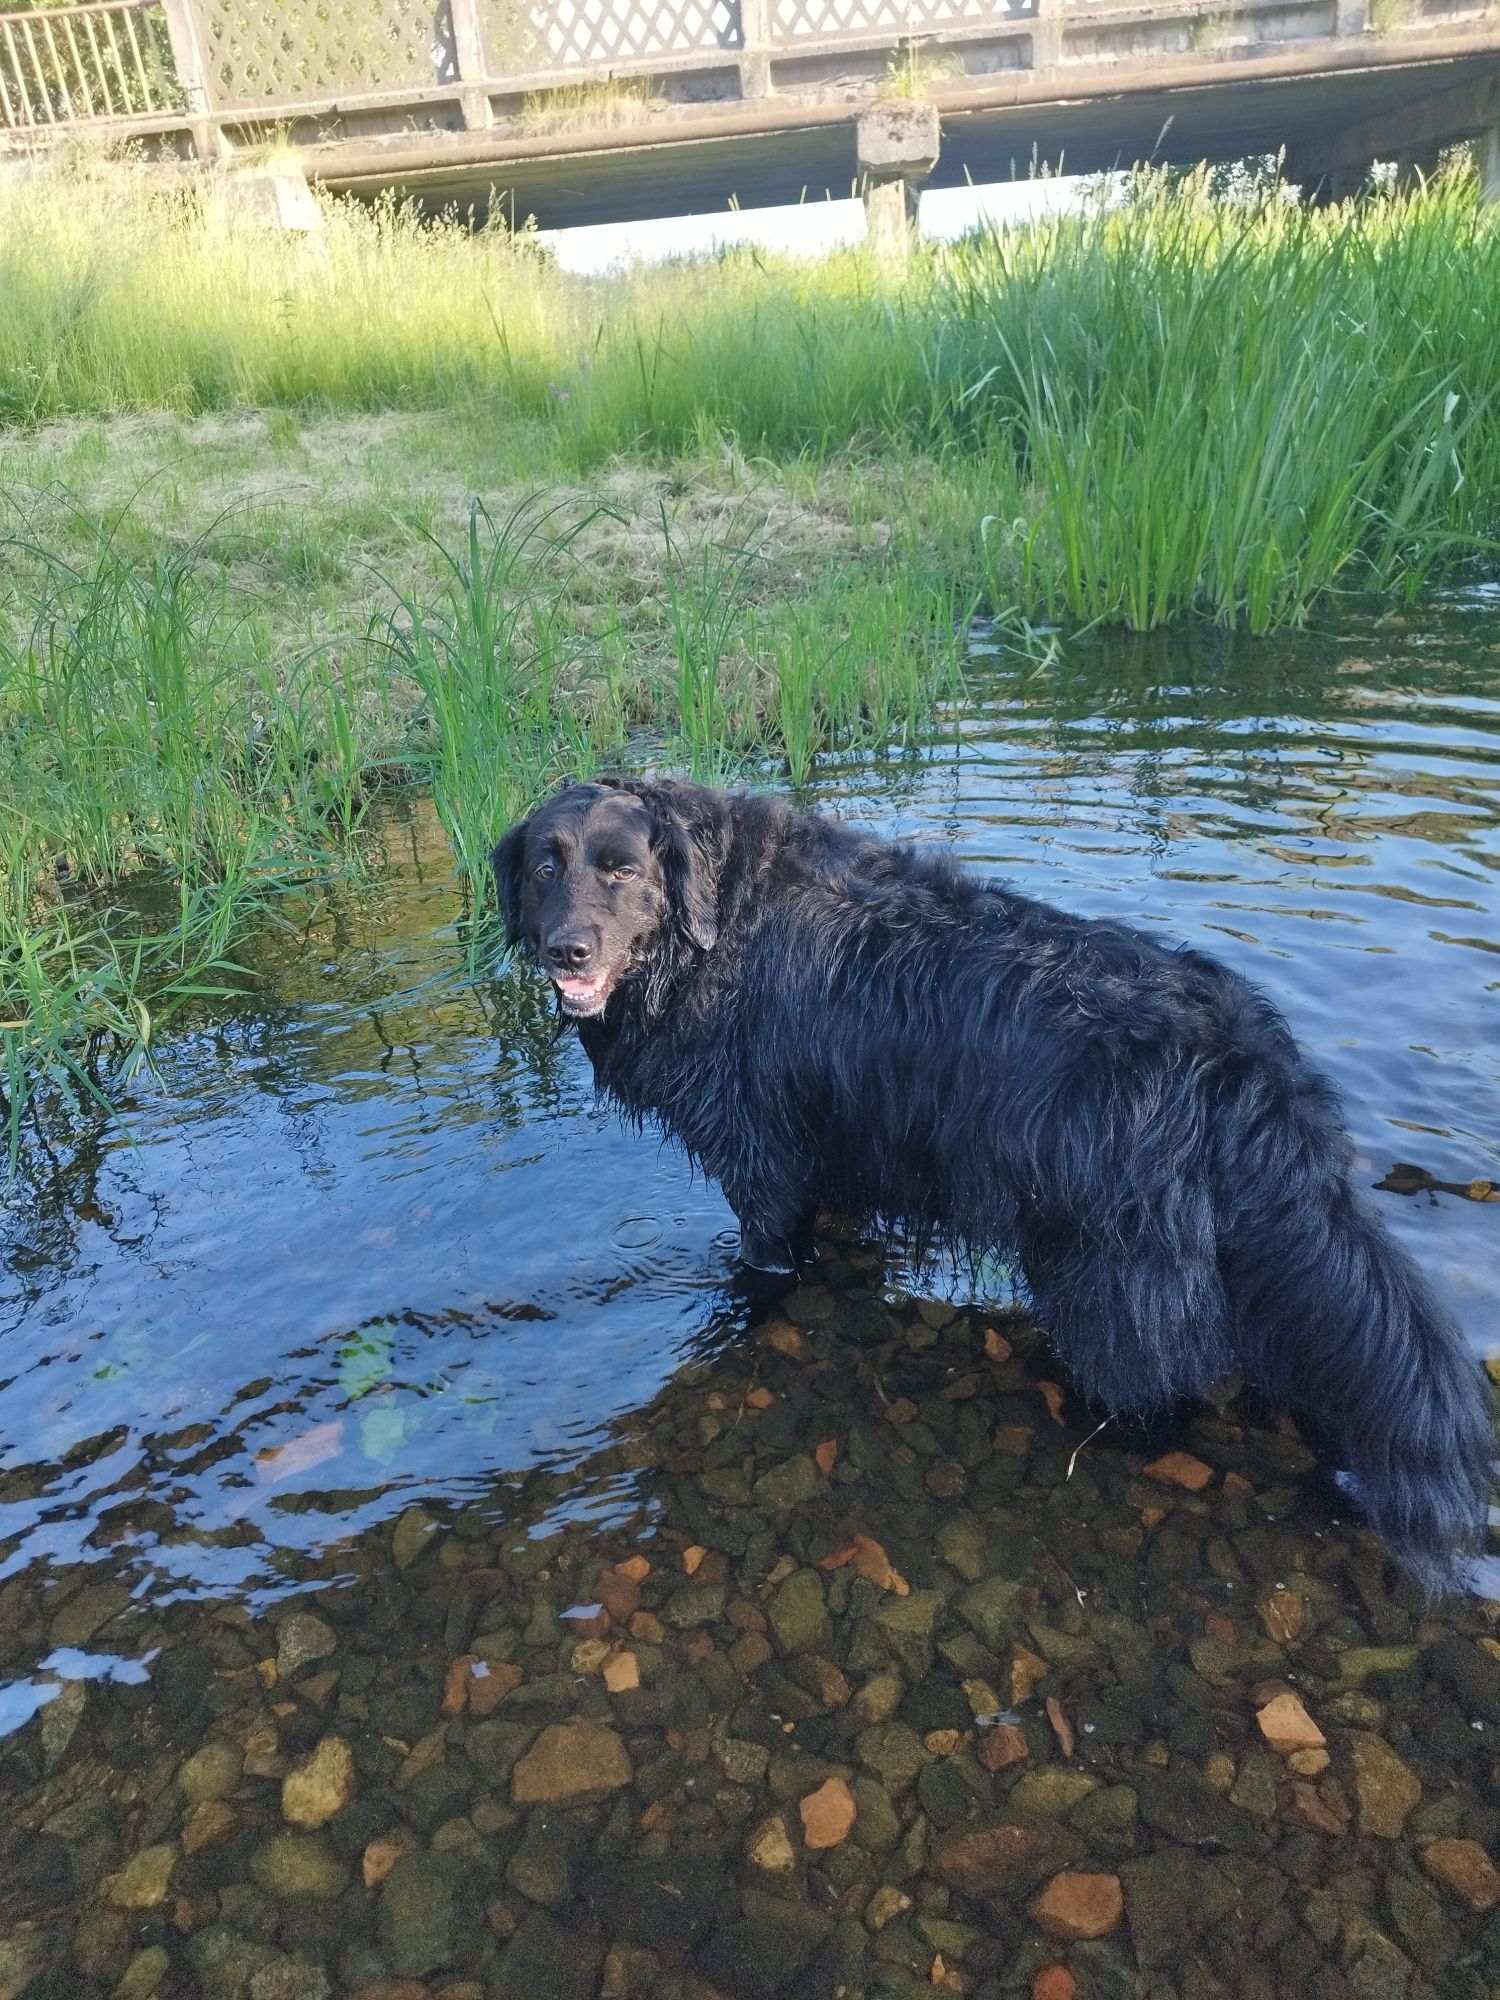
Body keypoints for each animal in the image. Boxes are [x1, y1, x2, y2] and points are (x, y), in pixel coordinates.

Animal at [494, 776, 1493, 1589]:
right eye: (545, 866)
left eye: (622, 870)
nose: (567, 951)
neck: (713, 933)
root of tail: (1241, 1053)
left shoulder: (763, 1169)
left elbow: (766, 1266)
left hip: (1108, 1265)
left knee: (1159, 1381)